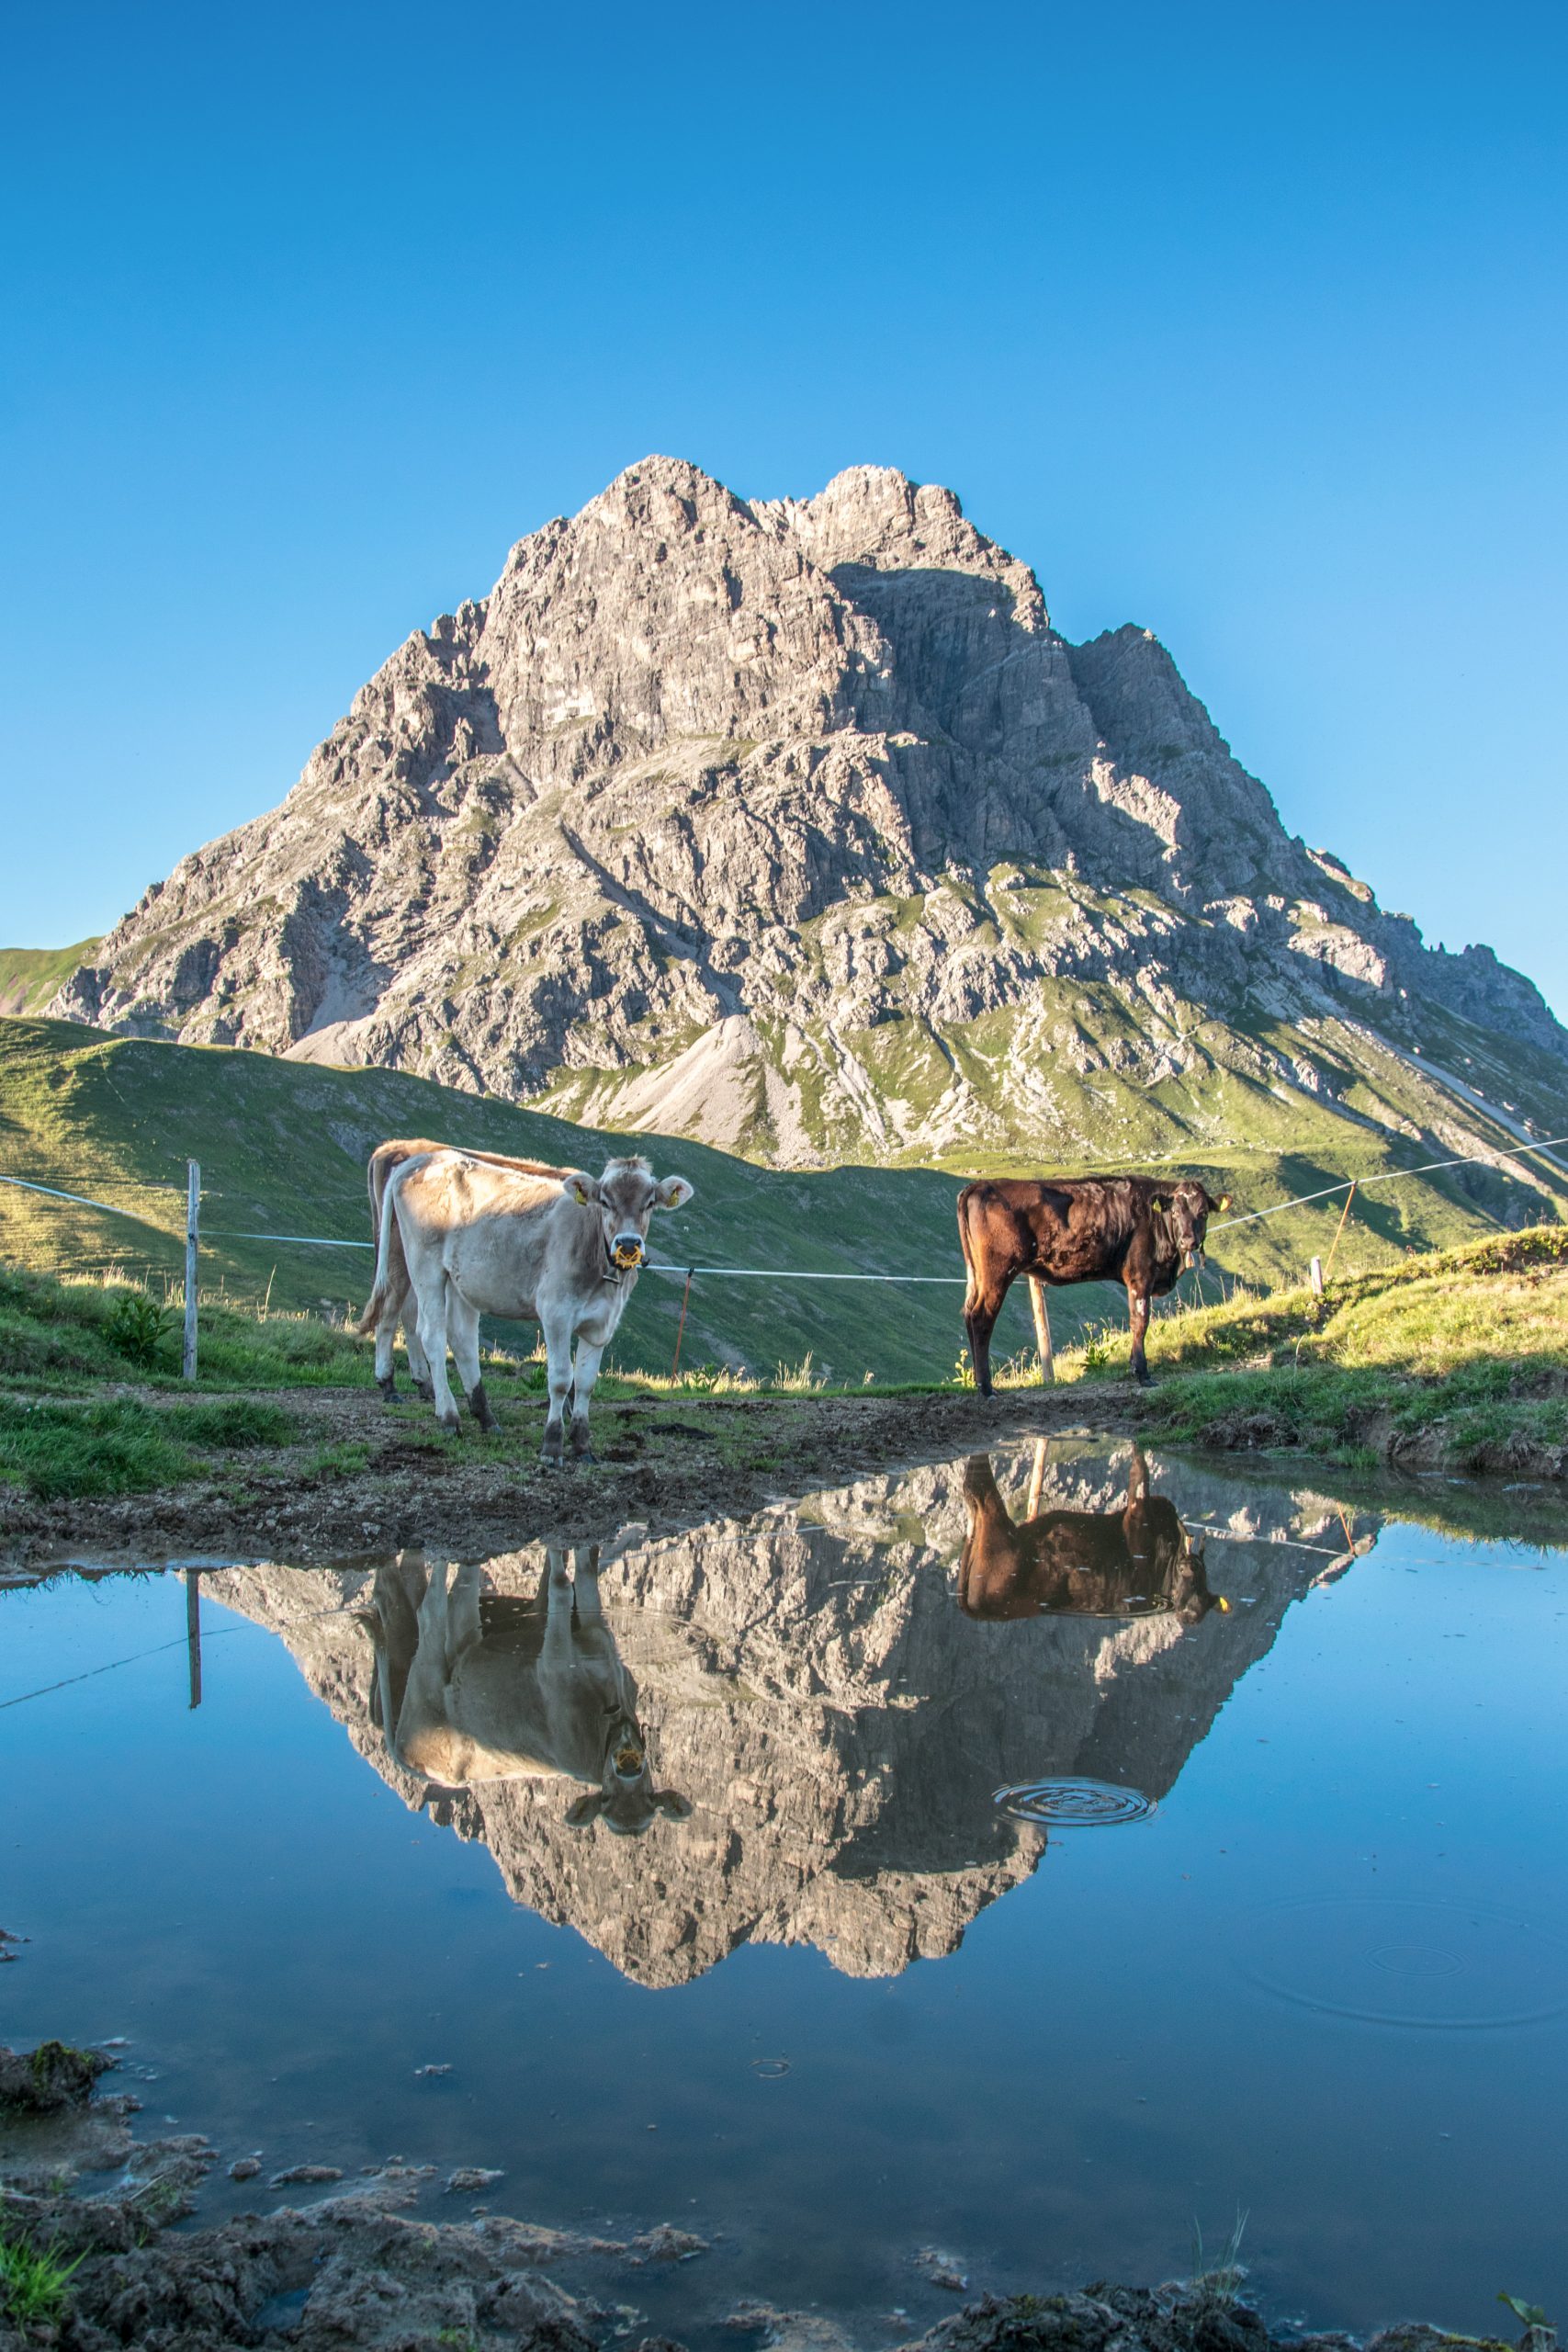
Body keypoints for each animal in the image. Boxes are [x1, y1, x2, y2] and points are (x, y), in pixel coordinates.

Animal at [364, 1138, 573, 1403]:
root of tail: (391, 1147)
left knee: (409, 1313)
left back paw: (424, 1383)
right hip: (398, 1252)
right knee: (390, 1311)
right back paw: (388, 1383)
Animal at [364, 1546, 690, 1835]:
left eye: (648, 1799)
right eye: (607, 1801)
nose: (628, 1770)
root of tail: (403, 1752)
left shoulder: (596, 1632)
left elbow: (585, 1573)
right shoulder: (552, 1666)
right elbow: (561, 1587)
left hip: (462, 1646)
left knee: (456, 1595)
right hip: (426, 1673)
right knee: (428, 1610)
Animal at [956, 1173, 1230, 1393]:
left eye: (1203, 1213)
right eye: (1175, 1211)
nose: (1189, 1241)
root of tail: (980, 1185)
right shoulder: (1140, 1275)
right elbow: (1140, 1322)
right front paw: (1142, 1373)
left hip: (977, 1276)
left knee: (969, 1313)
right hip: (997, 1272)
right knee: (981, 1317)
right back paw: (986, 1387)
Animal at [958, 1446, 1222, 1624]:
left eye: (1202, 1582)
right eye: (1191, 1579)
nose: (1191, 1563)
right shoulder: (1136, 1520)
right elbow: (1140, 1477)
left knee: (972, 1490)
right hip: (997, 1530)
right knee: (978, 1486)